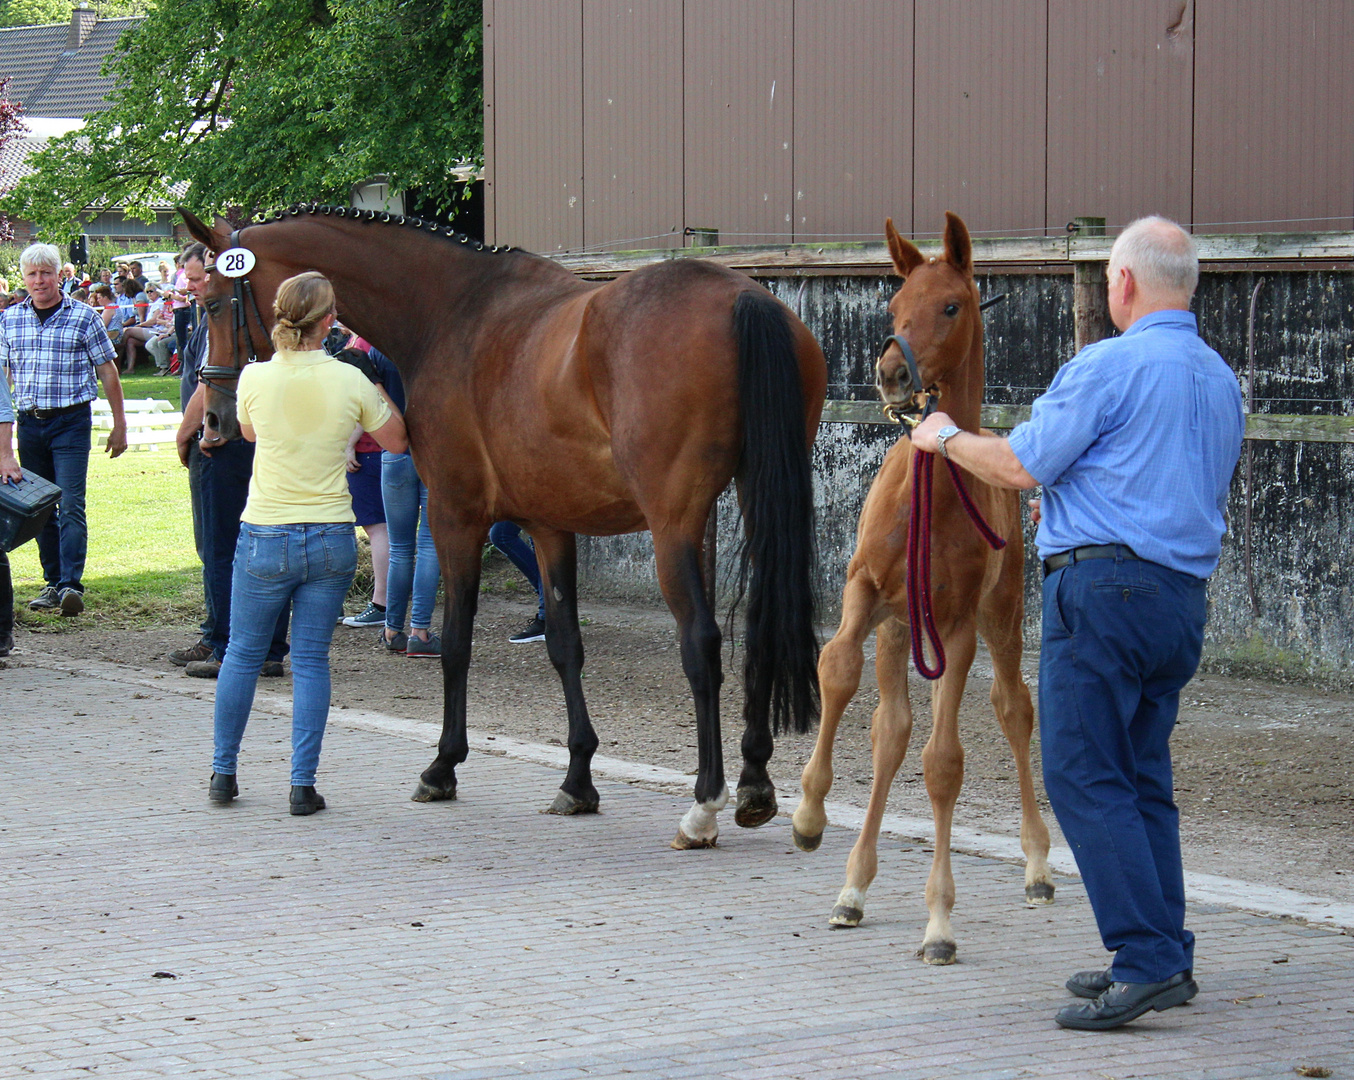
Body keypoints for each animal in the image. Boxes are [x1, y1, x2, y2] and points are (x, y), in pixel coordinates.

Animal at [180, 200, 823, 844]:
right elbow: (565, 644)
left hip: (674, 523)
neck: (452, 312)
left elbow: (456, 641)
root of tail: (745, 298)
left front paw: (442, 766)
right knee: (761, 631)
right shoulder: (550, 523)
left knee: (702, 642)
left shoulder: (453, 516)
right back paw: (755, 783)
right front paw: (577, 780)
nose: (213, 419)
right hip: (751, 500)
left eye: (209, 303)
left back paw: (704, 805)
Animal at [785, 211, 1056, 963]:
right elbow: (835, 669)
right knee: (891, 730)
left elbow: (944, 764)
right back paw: (853, 888)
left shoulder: (956, 625)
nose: (891, 374)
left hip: (1000, 616)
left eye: (952, 306)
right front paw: (808, 814)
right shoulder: (865, 593)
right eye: (893, 304)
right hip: (901, 629)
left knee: (1013, 709)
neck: (931, 487)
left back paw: (1037, 865)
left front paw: (939, 922)